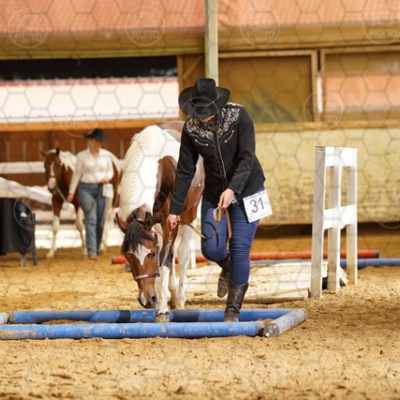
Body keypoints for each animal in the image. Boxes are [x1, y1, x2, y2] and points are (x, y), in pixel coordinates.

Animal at [116, 124, 204, 319]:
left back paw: (179, 297)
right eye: (128, 256)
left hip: (189, 215)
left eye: (151, 254)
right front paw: (163, 298)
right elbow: (165, 257)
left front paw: (163, 304)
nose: (147, 300)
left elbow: (165, 258)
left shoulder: (169, 223)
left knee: (182, 253)